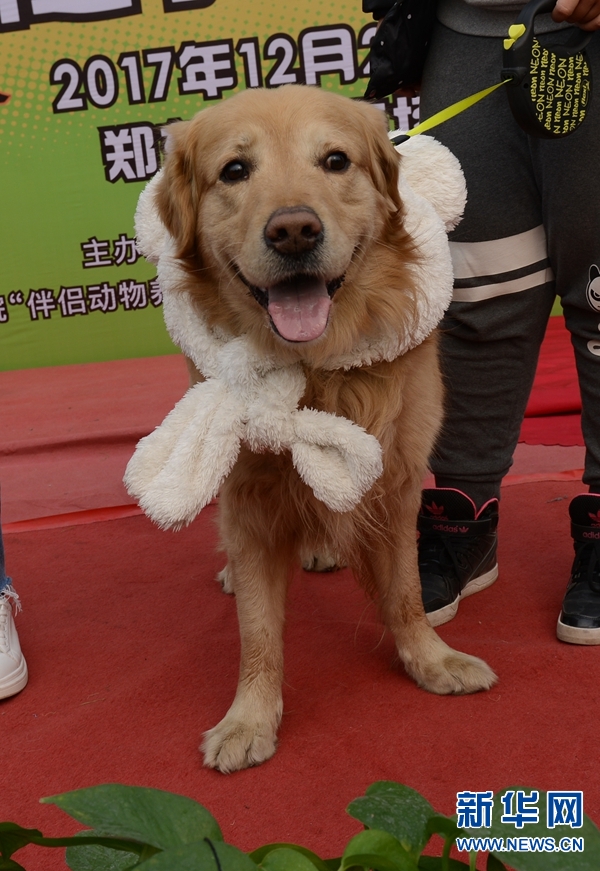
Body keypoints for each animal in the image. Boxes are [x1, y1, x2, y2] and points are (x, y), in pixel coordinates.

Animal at [151, 85, 496, 772]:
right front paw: (249, 717)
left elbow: (405, 591)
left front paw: (430, 659)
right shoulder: (248, 496)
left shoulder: (395, 480)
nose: (293, 230)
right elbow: (258, 629)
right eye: (235, 170)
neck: (316, 371)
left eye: (335, 161)